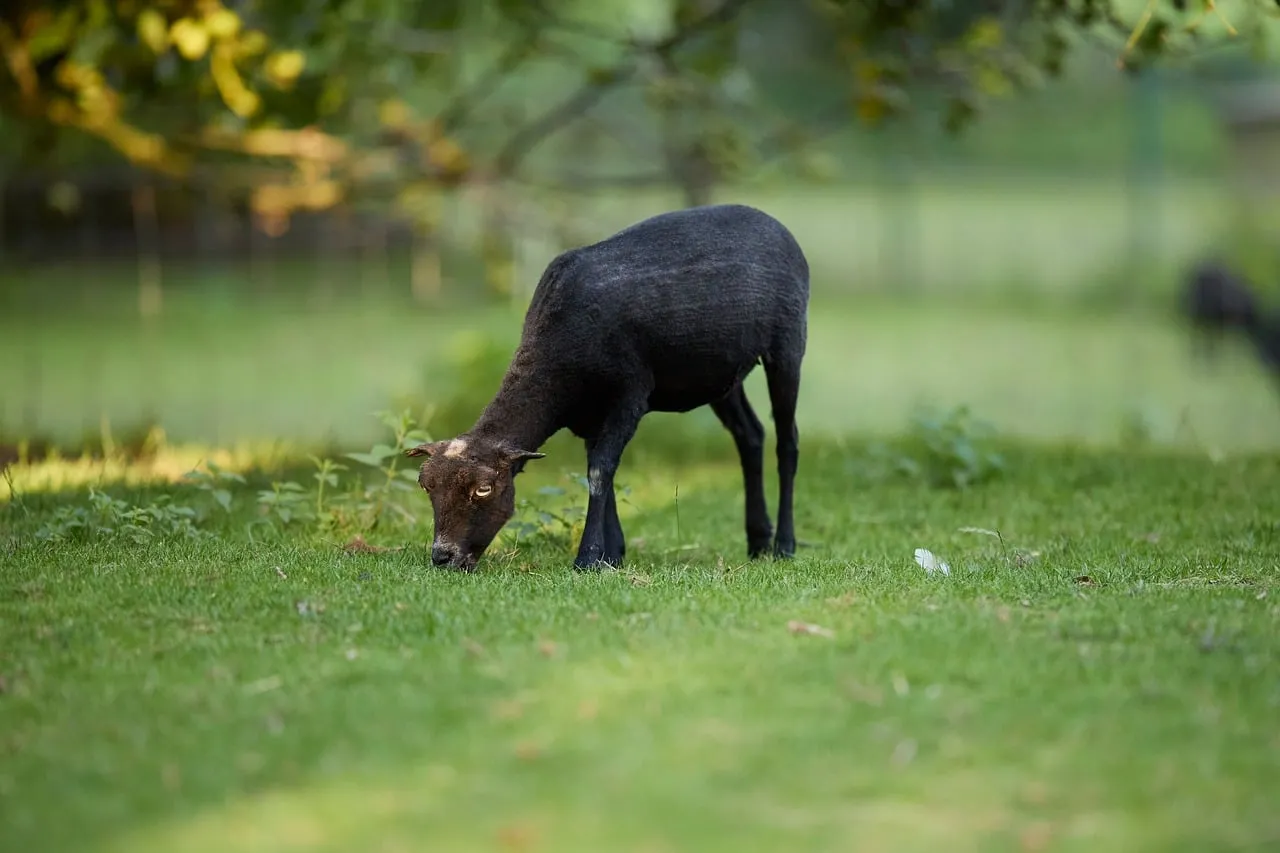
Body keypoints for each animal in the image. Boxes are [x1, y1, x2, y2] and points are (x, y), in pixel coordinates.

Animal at [406, 202, 810, 571]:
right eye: (426, 486)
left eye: (483, 489)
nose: (443, 557)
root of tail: (775, 223)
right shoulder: (589, 413)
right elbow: (600, 470)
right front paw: (612, 553)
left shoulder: (629, 395)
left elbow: (600, 470)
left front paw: (588, 558)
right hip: (720, 374)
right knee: (750, 435)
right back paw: (757, 541)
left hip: (788, 344)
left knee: (787, 441)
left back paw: (784, 545)